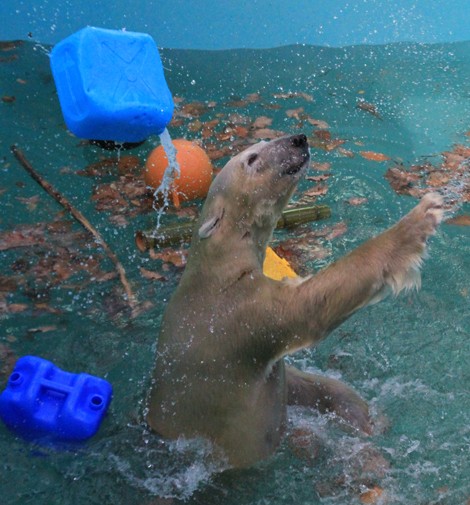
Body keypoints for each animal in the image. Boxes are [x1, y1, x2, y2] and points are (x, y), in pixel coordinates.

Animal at [148, 134, 444, 468]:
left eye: (264, 140)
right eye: (252, 159)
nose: (298, 139)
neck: (216, 270)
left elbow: (300, 384)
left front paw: (360, 414)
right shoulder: (239, 316)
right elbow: (309, 306)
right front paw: (419, 220)